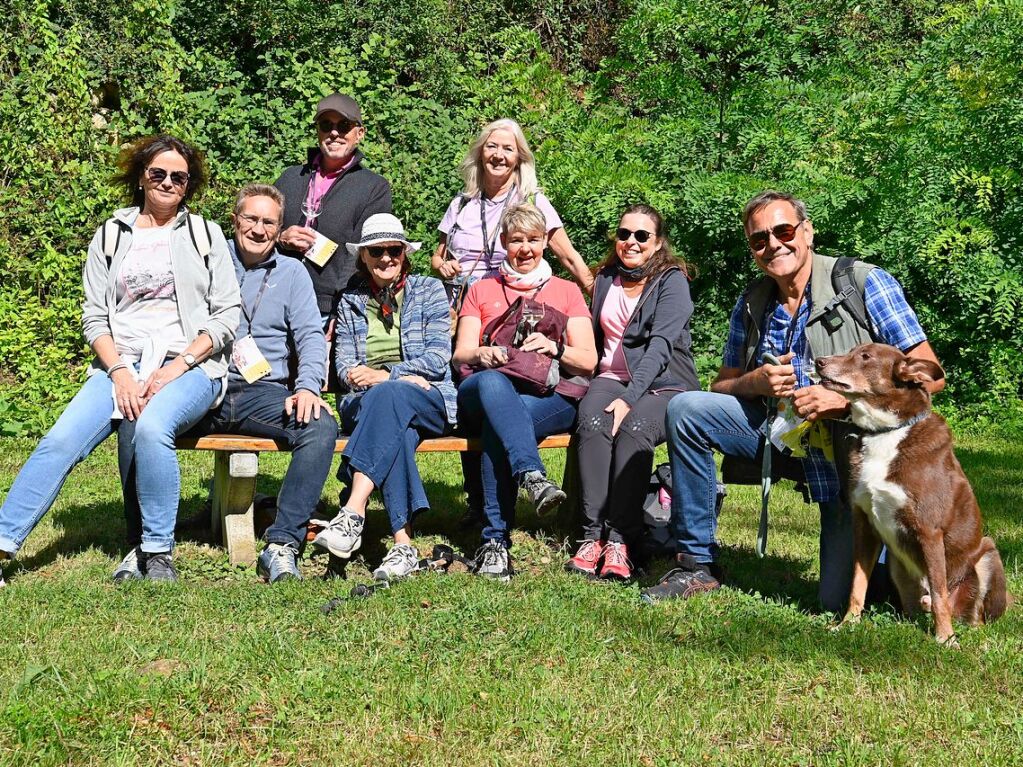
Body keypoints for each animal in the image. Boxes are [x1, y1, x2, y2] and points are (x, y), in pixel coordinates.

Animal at [814, 345, 1006, 646]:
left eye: (865, 356)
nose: (818, 361)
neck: (886, 433)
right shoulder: (864, 525)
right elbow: (857, 583)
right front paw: (846, 624)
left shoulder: (928, 530)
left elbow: (939, 591)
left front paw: (945, 638)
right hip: (897, 568)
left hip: (988, 553)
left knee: (974, 617)